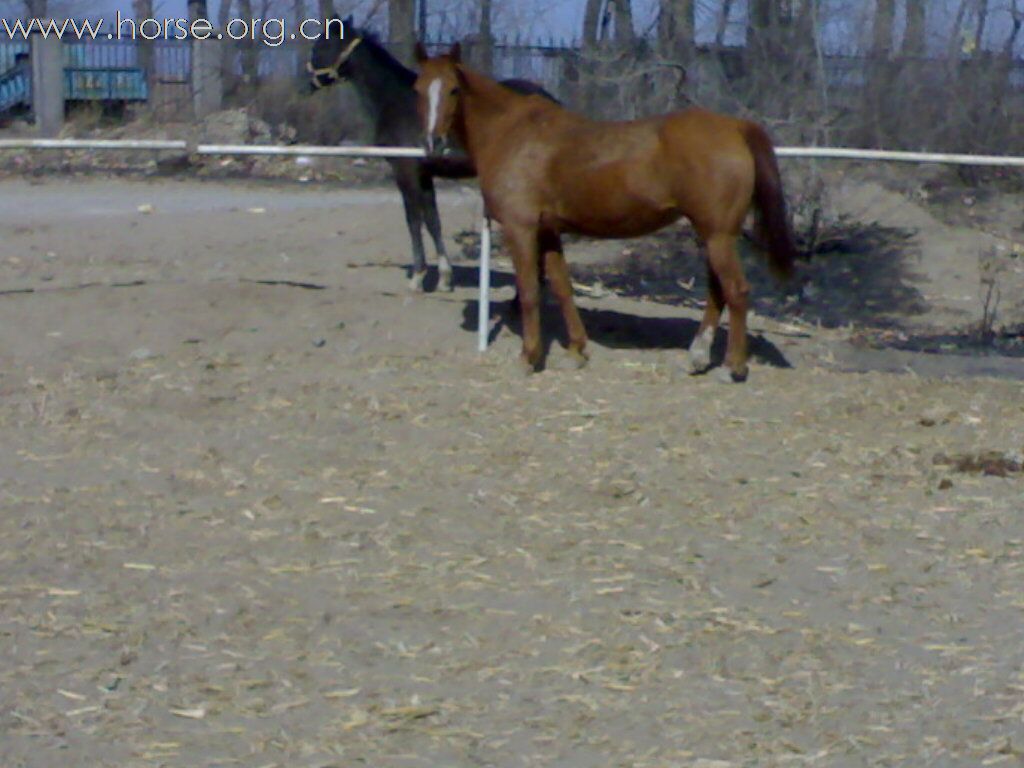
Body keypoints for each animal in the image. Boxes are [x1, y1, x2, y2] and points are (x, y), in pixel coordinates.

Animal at [307, 18, 557, 294]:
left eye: (321, 45)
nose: (307, 82)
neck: (397, 100)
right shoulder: (424, 174)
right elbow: (432, 220)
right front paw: (445, 279)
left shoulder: (405, 172)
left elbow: (413, 220)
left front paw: (418, 276)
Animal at [411, 40, 794, 382]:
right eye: (418, 89)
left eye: (454, 90)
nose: (432, 144)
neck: (512, 133)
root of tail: (735, 126)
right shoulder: (549, 230)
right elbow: (562, 287)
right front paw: (576, 351)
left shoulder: (521, 228)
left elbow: (531, 291)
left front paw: (529, 357)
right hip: (711, 234)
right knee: (717, 290)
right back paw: (697, 358)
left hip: (718, 235)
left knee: (737, 291)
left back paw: (733, 367)